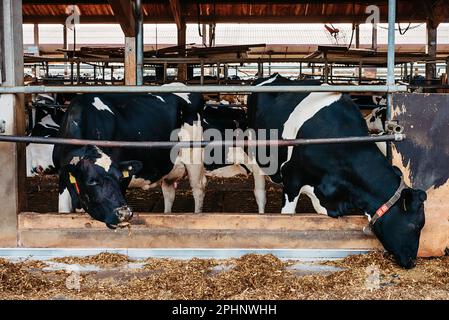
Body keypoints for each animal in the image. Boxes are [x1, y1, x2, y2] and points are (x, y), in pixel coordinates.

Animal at [52, 90, 205, 229]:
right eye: (92, 181)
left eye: (120, 178)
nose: (124, 213)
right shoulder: (63, 179)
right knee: (169, 193)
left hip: (195, 157)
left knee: (198, 189)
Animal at [245, 74, 428, 268]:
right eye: (415, 225)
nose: (411, 262)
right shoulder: (291, 179)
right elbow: (287, 217)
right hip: (255, 152)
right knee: (260, 192)